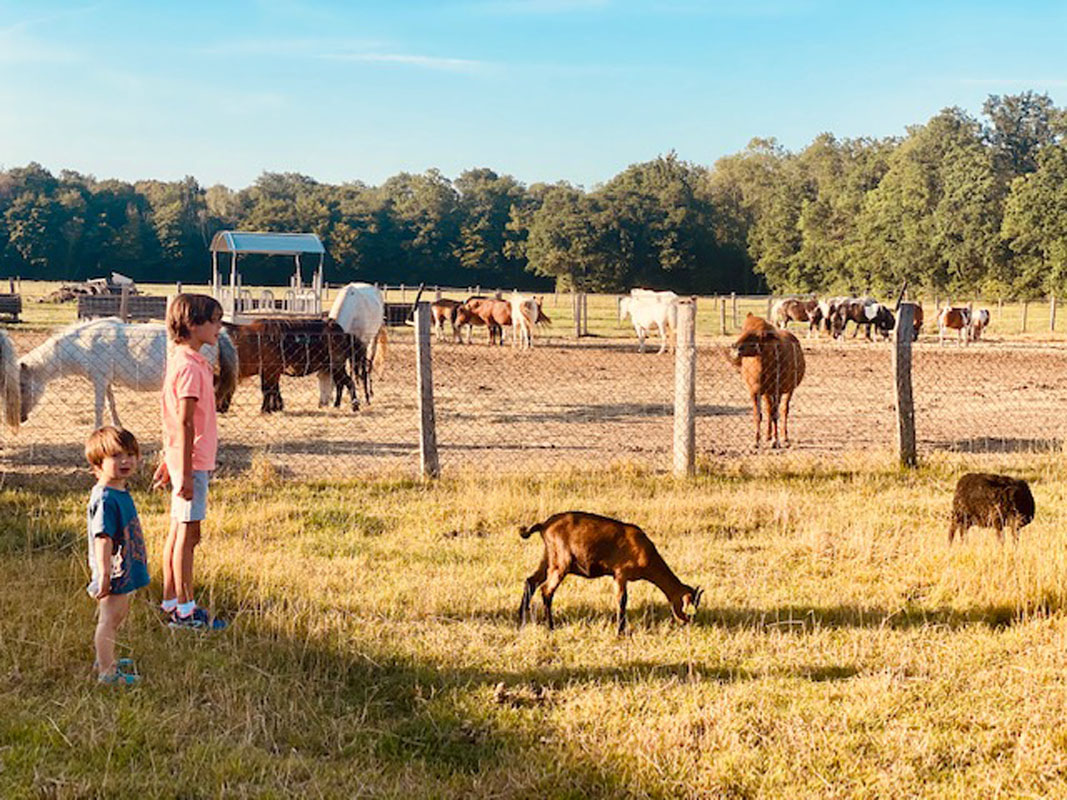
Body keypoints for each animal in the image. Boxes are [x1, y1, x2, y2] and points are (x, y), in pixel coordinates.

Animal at [18, 318, 237, 429]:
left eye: (23, 386)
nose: (21, 418)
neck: (84, 342)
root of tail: (217, 335)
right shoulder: (106, 381)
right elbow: (111, 404)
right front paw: (118, 426)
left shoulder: (99, 380)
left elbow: (98, 407)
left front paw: (96, 430)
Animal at [517, 511, 702, 633]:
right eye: (689, 603)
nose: (688, 621)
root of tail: (544, 525)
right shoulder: (621, 573)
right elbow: (622, 600)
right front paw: (621, 631)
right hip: (562, 562)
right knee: (546, 590)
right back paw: (550, 626)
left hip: (548, 558)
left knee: (530, 581)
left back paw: (522, 617)